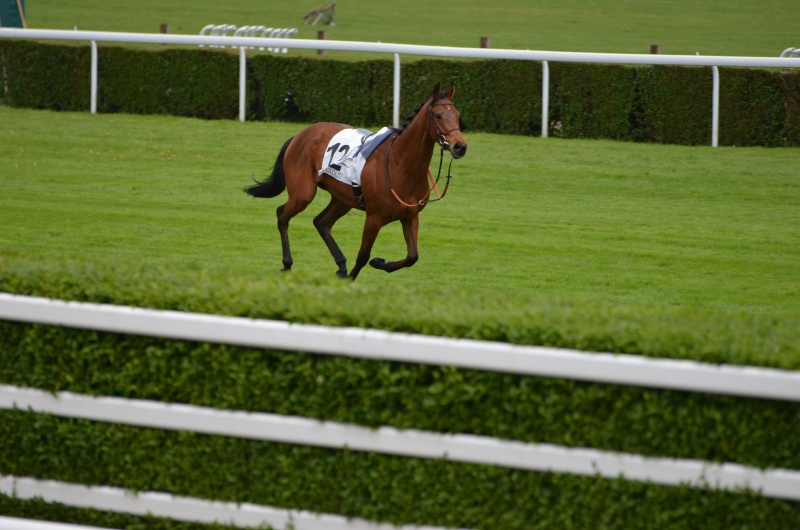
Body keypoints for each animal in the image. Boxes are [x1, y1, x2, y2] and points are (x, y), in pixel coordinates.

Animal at [244, 81, 468, 280]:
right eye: (438, 115)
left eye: (457, 116)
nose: (460, 146)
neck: (400, 163)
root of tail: (300, 134)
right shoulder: (374, 217)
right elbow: (362, 256)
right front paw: (353, 277)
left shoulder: (410, 216)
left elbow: (412, 256)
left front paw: (380, 263)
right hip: (303, 194)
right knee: (282, 214)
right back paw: (287, 263)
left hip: (343, 199)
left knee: (321, 222)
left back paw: (341, 265)